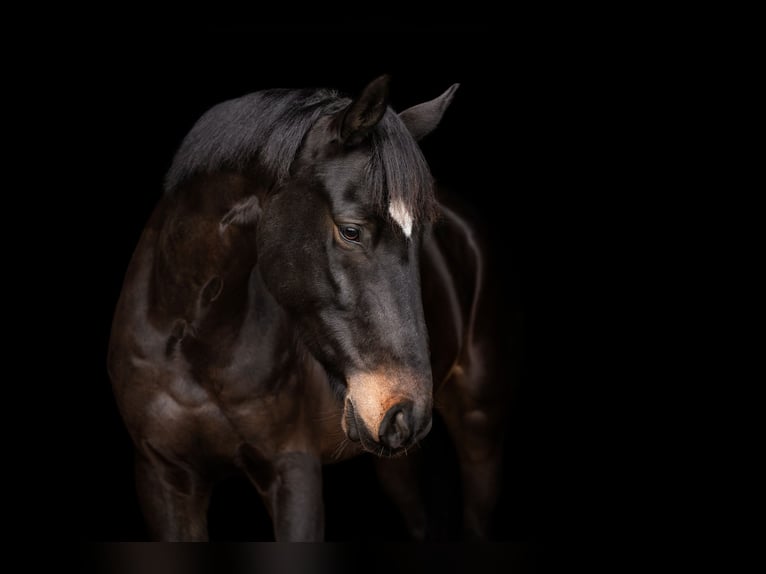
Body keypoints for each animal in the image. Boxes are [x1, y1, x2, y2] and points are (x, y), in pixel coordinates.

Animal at [107, 75, 515, 541]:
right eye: (351, 231)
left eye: (425, 237)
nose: (406, 413)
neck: (191, 334)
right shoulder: (163, 477)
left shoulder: (293, 472)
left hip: (480, 426)